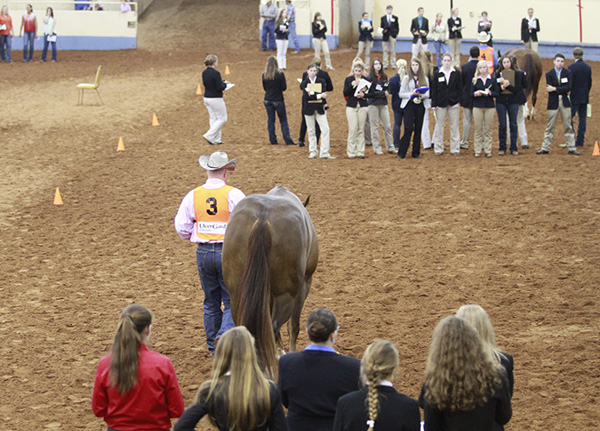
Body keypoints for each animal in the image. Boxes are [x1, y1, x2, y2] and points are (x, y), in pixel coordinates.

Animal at [223, 186, 318, 378]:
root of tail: (262, 219)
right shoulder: (304, 284)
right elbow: (293, 326)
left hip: (237, 294)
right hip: (286, 294)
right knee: (274, 327)